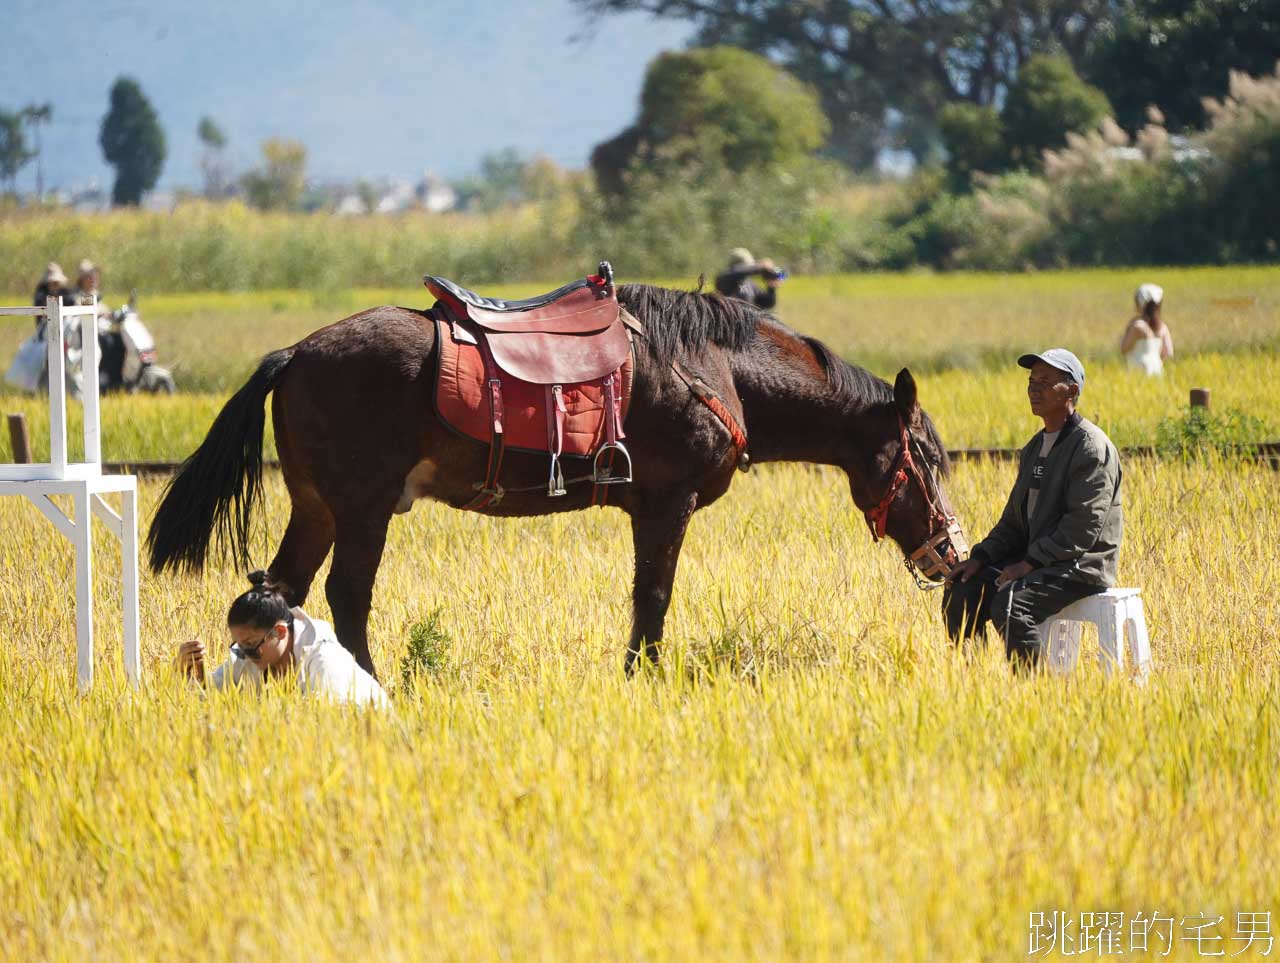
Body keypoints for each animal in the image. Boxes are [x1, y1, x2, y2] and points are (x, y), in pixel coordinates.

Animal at [149, 285, 962, 671]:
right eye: (926, 453)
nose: (952, 551)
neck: (713, 369)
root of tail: (295, 352)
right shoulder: (666, 504)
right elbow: (653, 598)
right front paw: (641, 677)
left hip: (317, 506)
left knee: (279, 587)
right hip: (362, 506)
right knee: (349, 595)